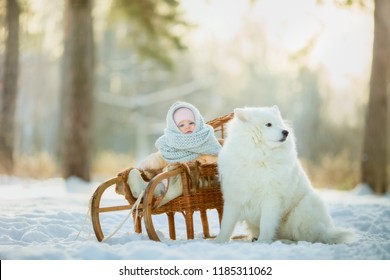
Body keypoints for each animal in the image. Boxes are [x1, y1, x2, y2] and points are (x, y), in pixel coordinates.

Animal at [215, 106, 354, 244]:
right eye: (269, 124)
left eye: (280, 124)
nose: (285, 132)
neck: (258, 157)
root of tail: (326, 230)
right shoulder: (234, 198)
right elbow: (227, 224)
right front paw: (219, 241)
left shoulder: (271, 198)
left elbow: (266, 223)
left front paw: (263, 241)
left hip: (301, 212)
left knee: (305, 238)